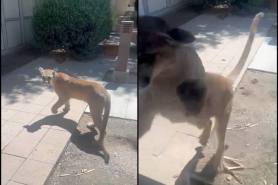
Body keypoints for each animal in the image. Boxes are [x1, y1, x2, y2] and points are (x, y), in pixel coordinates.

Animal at [140, 11, 264, 173]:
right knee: (208, 122)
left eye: (151, 55)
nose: (143, 78)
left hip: (221, 118)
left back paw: (217, 163)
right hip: (196, 119)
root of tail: (227, 80)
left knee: (220, 141)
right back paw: (204, 140)